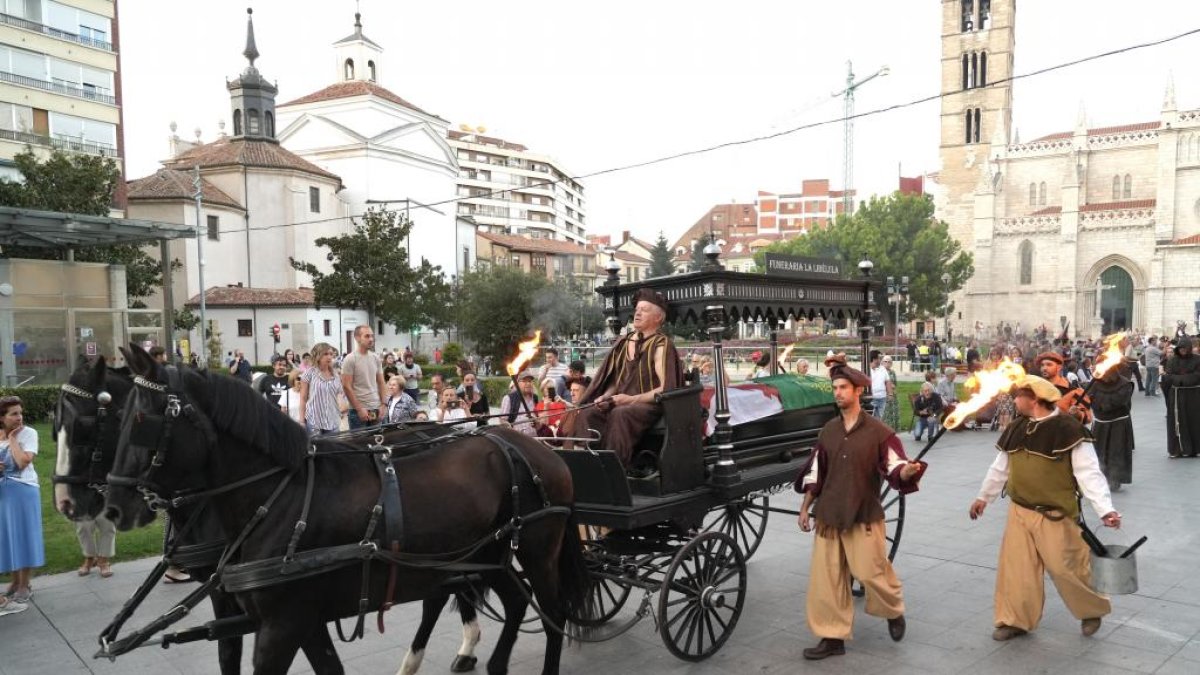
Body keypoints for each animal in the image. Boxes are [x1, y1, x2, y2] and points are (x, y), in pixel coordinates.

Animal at [106, 343, 585, 672]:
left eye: (142, 420)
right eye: (118, 415)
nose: (113, 507)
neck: (280, 497)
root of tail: (540, 449)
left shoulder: (282, 624)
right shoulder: (297, 619)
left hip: (536, 550)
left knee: (554, 612)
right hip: (487, 555)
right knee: (512, 601)